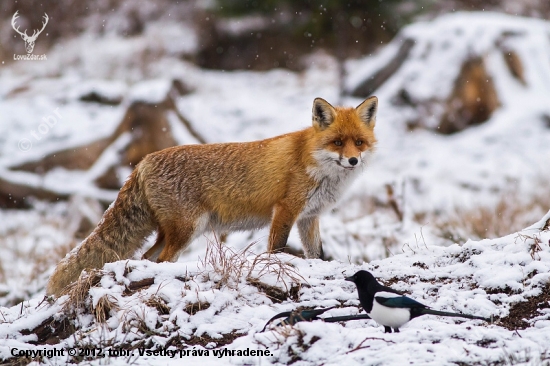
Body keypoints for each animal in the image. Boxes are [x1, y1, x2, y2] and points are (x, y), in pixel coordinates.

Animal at [46, 98, 380, 298]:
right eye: (337, 142)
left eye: (359, 142)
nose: (353, 160)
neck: (314, 162)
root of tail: (143, 161)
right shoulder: (286, 209)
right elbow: (277, 249)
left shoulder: (309, 217)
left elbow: (316, 255)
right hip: (187, 229)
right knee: (160, 260)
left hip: (176, 232)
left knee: (145, 259)